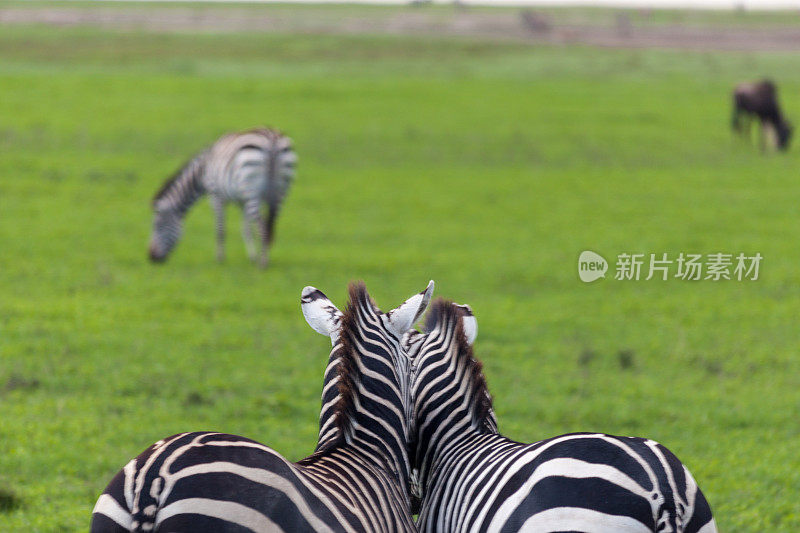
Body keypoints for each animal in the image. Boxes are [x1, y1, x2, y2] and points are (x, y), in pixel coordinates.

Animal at [148, 129, 296, 266]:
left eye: (157, 225)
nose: (151, 257)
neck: (203, 172)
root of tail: (272, 139)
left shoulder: (216, 196)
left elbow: (220, 229)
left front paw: (220, 259)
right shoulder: (242, 201)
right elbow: (246, 228)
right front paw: (252, 257)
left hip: (251, 188)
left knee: (262, 227)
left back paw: (263, 263)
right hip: (279, 192)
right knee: (270, 225)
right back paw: (264, 257)